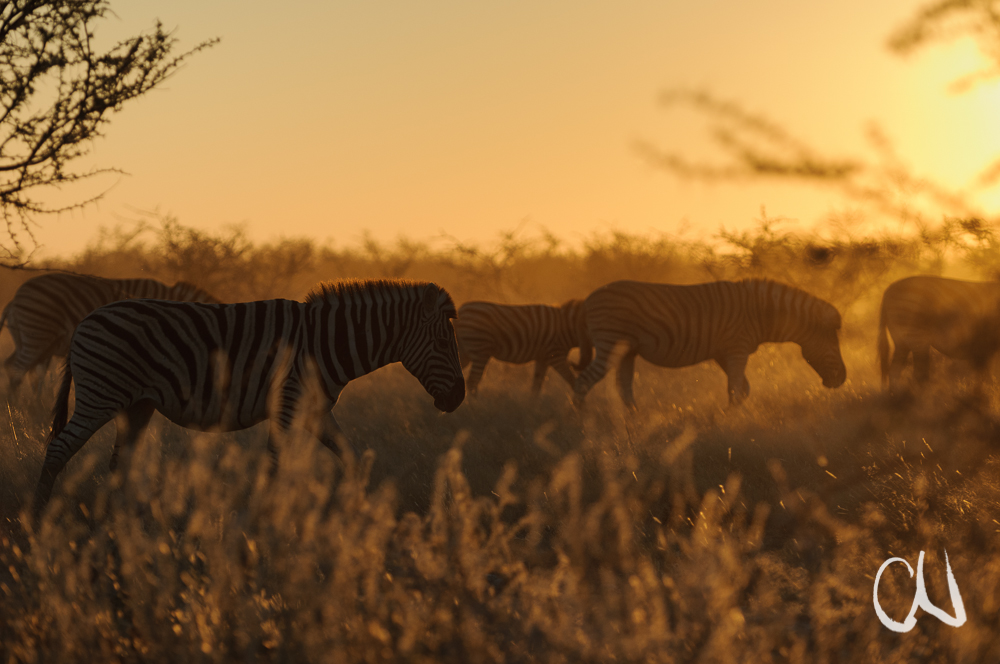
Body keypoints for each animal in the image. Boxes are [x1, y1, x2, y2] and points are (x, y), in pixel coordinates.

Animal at [1, 272, 221, 396]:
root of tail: (15, 297)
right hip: (37, 335)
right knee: (18, 370)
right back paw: (18, 415)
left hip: (31, 340)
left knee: (15, 368)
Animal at [30, 278, 464, 516]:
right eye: (444, 344)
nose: (459, 399)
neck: (326, 344)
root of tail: (86, 320)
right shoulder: (287, 404)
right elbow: (274, 467)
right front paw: (261, 520)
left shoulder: (315, 411)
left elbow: (352, 460)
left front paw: (359, 509)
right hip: (100, 395)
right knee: (59, 450)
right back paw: (38, 520)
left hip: (137, 405)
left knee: (119, 462)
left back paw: (122, 522)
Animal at [456, 300, 588, 394]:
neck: (567, 326)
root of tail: (461, 310)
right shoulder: (556, 355)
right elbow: (573, 381)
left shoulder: (543, 359)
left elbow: (536, 386)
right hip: (480, 351)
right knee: (472, 382)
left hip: (464, 351)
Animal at [572, 278, 844, 408]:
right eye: (833, 342)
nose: (843, 379)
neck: (759, 311)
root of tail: (588, 299)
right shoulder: (737, 350)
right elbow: (735, 390)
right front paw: (735, 427)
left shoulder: (724, 353)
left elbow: (742, 390)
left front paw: (729, 418)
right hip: (609, 342)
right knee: (583, 382)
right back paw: (584, 427)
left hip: (627, 350)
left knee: (624, 389)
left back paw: (634, 424)